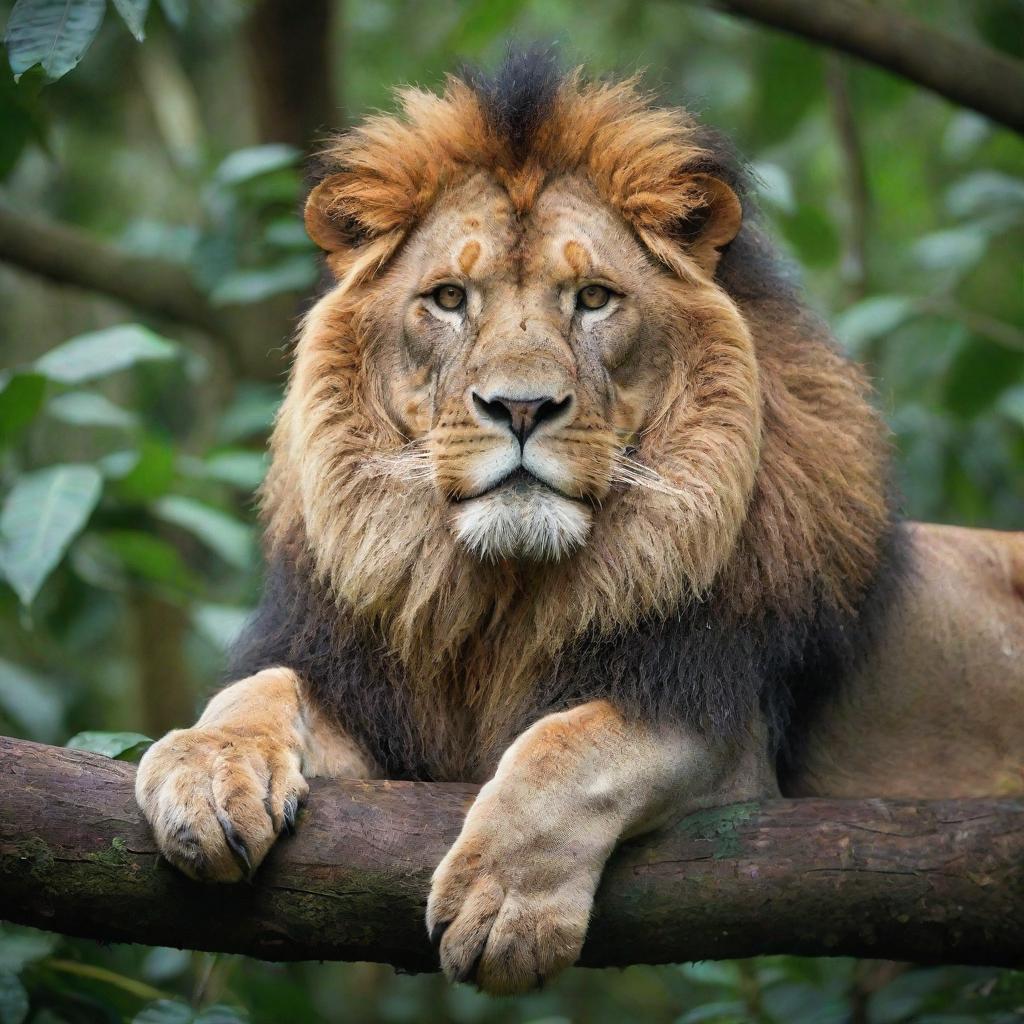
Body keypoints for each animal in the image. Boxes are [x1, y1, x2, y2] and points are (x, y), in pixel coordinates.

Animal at [138, 51, 1024, 995]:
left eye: (594, 298)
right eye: (448, 298)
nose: (521, 408)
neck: (500, 599)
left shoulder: (728, 741)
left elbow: (571, 746)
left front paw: (502, 906)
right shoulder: (381, 713)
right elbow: (262, 685)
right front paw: (204, 771)